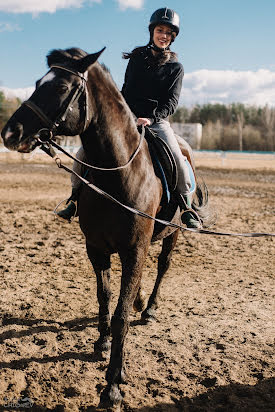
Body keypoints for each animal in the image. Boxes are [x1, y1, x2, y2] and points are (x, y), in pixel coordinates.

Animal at [1, 47, 211, 408]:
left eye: (61, 87)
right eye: (38, 82)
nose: (10, 134)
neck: (119, 174)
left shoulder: (134, 251)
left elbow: (121, 314)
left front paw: (113, 383)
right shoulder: (97, 249)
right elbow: (106, 296)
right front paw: (102, 342)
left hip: (173, 234)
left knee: (163, 266)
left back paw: (149, 308)